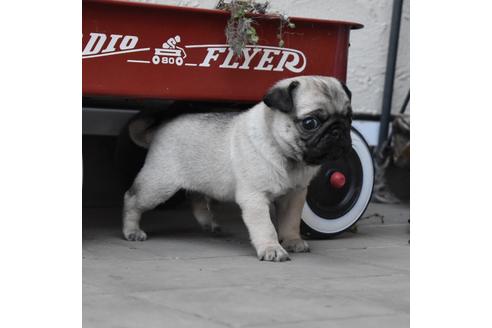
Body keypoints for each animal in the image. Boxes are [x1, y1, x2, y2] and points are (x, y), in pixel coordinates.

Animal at [125, 75, 352, 262]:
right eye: (310, 122)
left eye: (349, 117)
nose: (338, 130)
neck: (286, 155)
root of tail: (159, 129)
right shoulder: (255, 197)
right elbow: (266, 226)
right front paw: (271, 248)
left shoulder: (294, 196)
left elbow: (291, 221)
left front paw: (292, 241)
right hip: (158, 185)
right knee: (132, 199)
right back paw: (131, 230)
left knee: (197, 199)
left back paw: (209, 224)